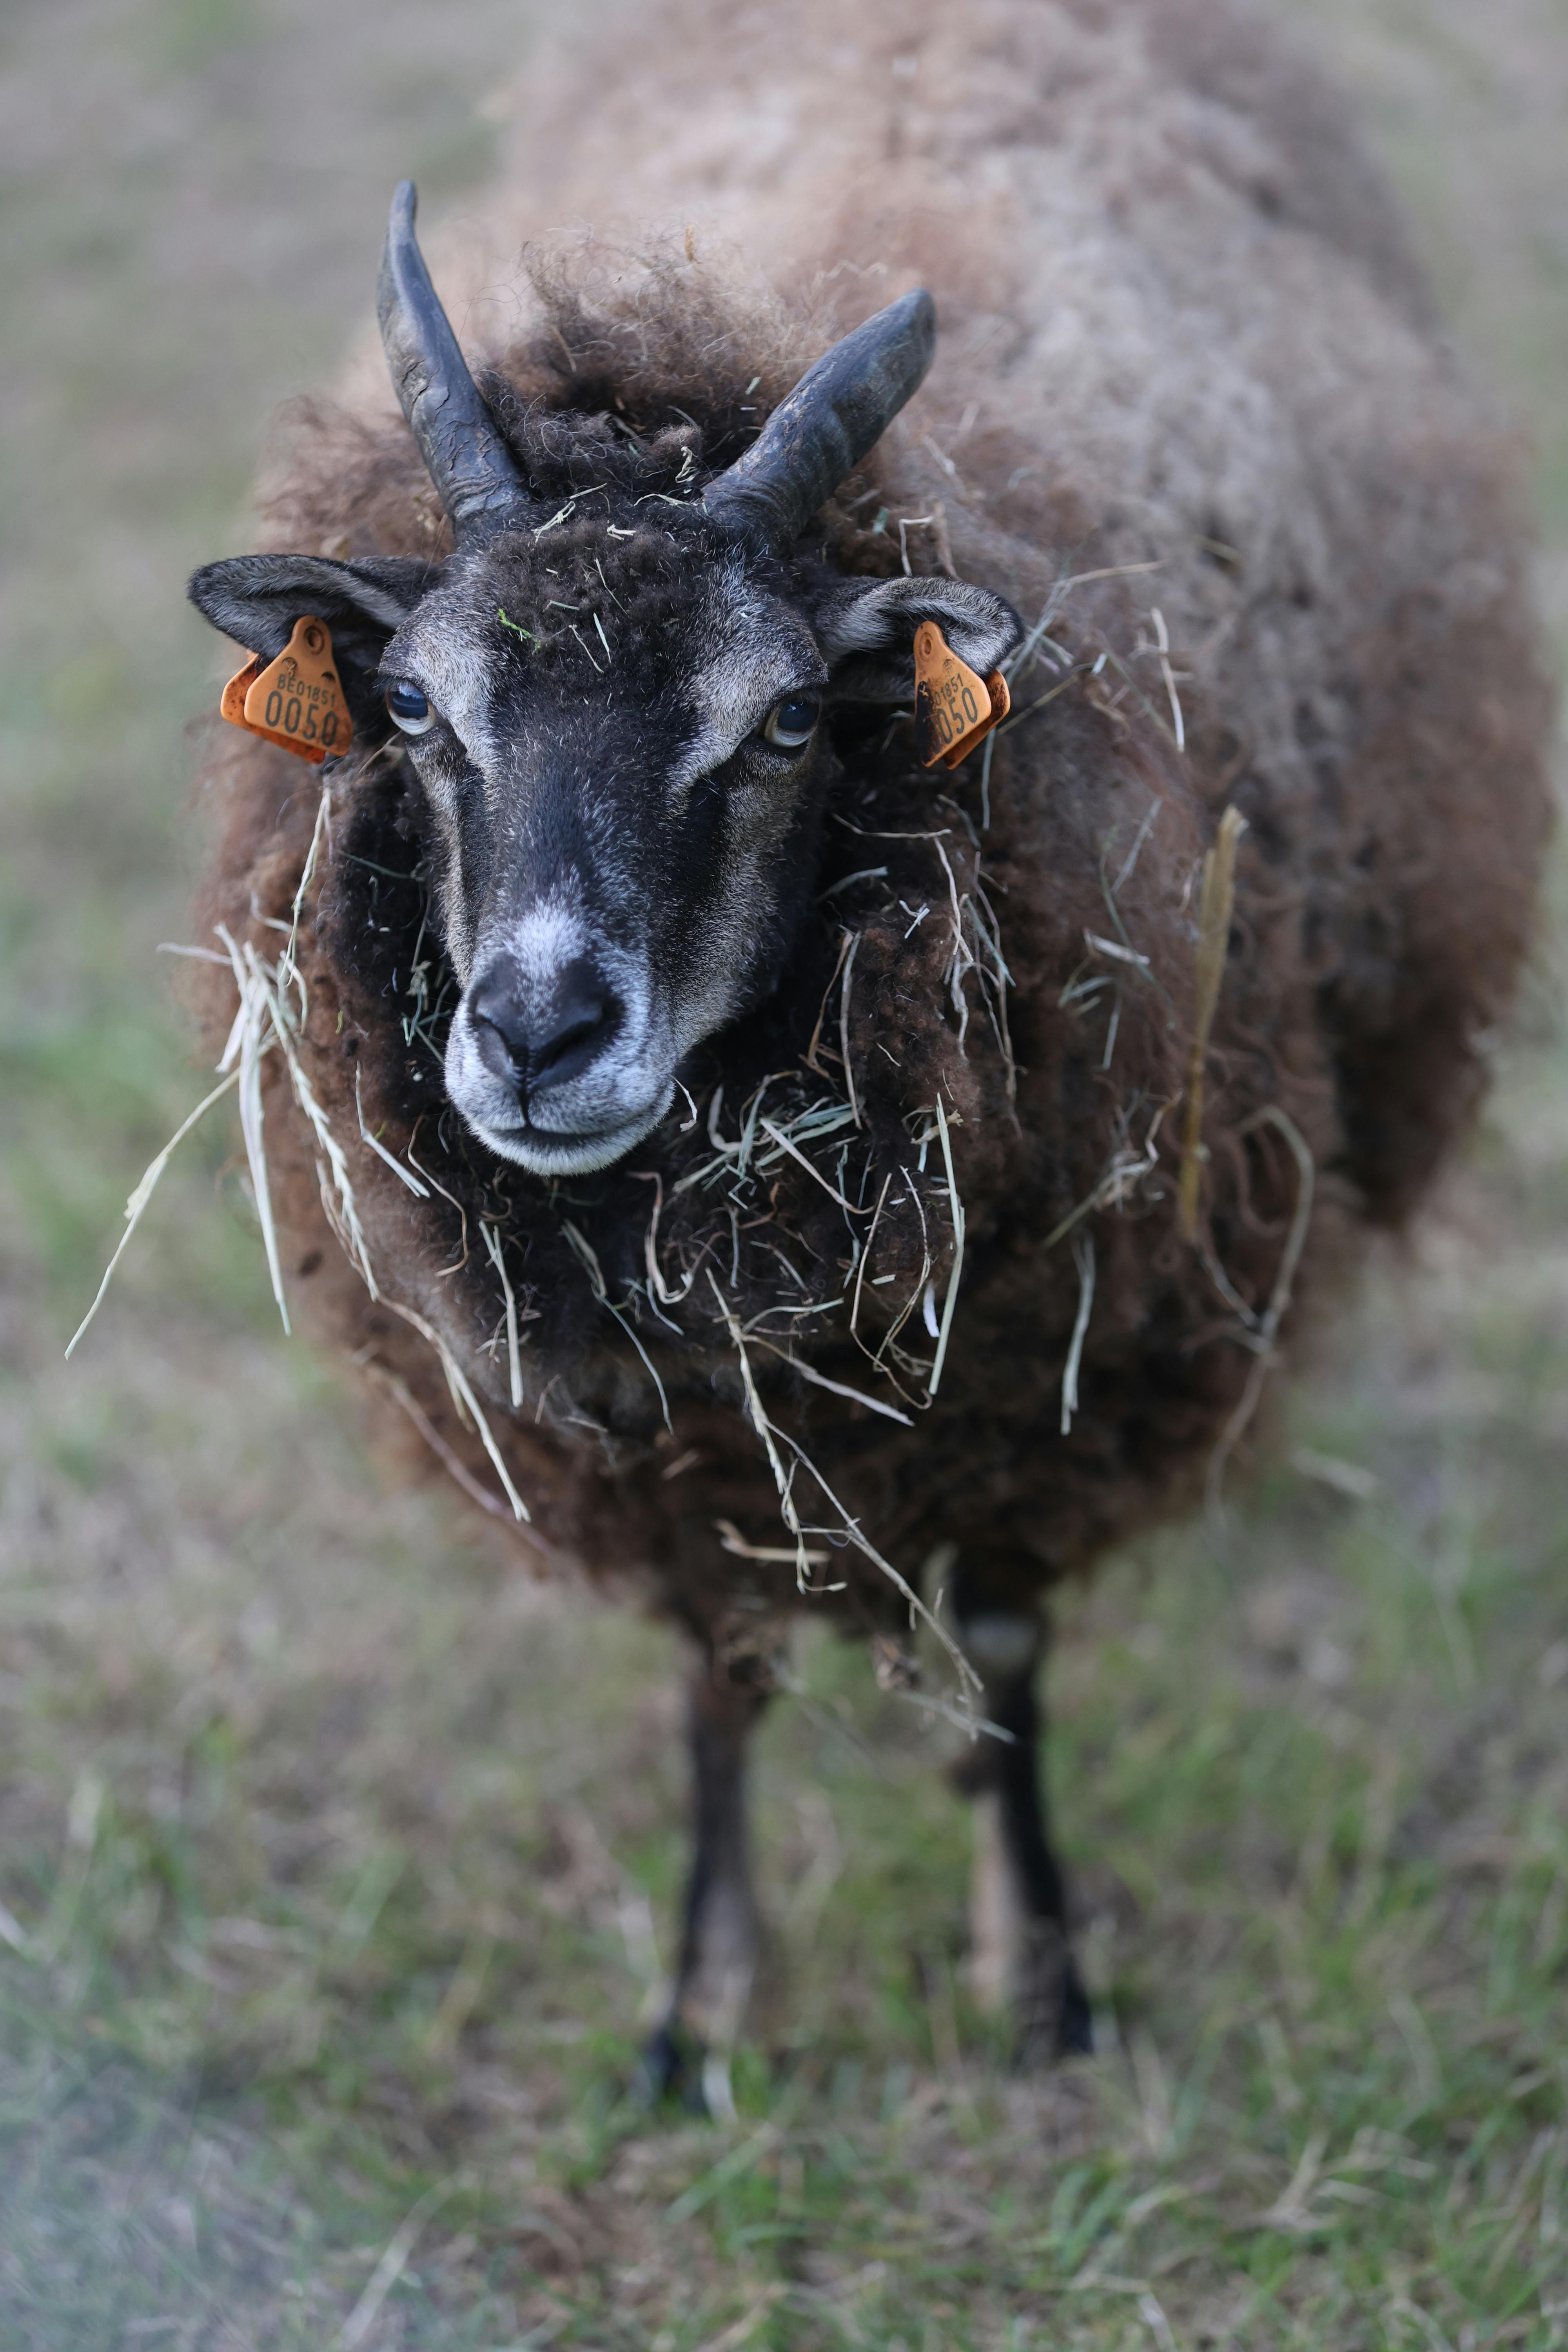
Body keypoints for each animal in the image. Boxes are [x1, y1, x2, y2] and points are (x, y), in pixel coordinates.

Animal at [175, 0, 1551, 2087]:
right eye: (409, 704)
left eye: (785, 724)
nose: (538, 1033)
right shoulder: (660, 1435)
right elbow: (715, 1675)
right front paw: (695, 2011)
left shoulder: (1045, 1361)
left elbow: (1004, 1666)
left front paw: (1042, 1977)